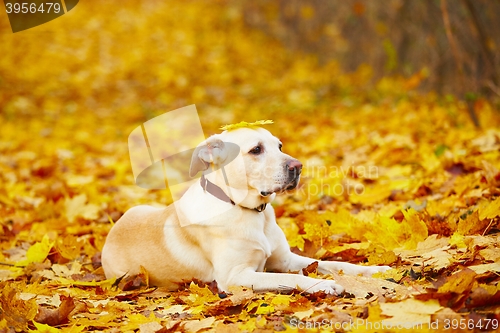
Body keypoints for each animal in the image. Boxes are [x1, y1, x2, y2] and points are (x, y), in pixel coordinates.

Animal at [102, 125, 390, 294]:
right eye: (256, 150)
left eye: (279, 146)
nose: (297, 167)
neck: (248, 210)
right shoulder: (235, 276)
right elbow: (287, 279)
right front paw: (324, 284)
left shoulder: (286, 259)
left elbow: (336, 263)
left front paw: (376, 270)